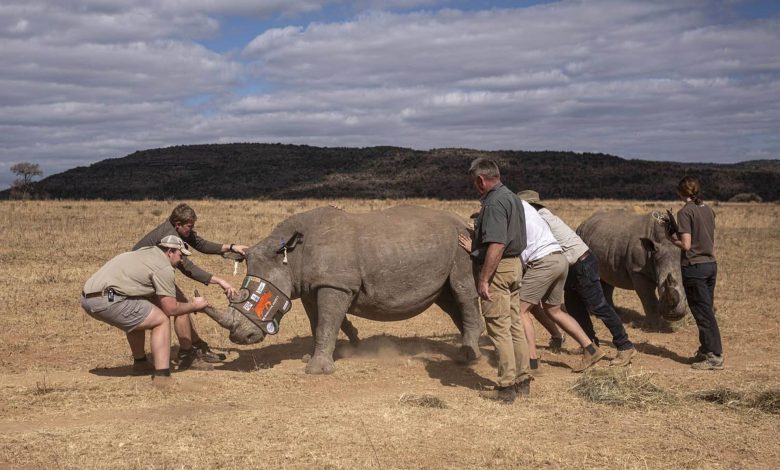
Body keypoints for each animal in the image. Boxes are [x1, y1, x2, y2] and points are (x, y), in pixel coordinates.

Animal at [201, 206, 482, 374]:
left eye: (258, 298)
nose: (240, 338)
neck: (289, 255)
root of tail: (465, 223)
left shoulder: (334, 284)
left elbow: (327, 323)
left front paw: (316, 370)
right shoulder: (310, 287)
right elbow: (317, 323)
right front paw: (311, 357)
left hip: (462, 246)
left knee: (461, 290)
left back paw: (467, 357)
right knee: (449, 299)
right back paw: (469, 349)